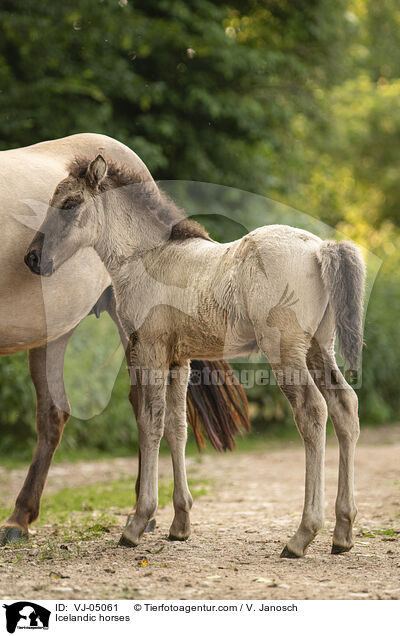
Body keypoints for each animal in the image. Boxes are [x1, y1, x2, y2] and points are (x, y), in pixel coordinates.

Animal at [25, 155, 366, 556]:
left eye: (70, 204)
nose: (32, 258)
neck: (146, 258)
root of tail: (318, 248)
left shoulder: (150, 350)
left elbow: (150, 423)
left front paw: (137, 523)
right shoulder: (180, 360)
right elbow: (177, 427)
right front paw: (180, 523)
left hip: (286, 352)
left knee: (313, 412)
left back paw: (301, 536)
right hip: (318, 349)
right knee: (345, 407)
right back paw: (342, 532)